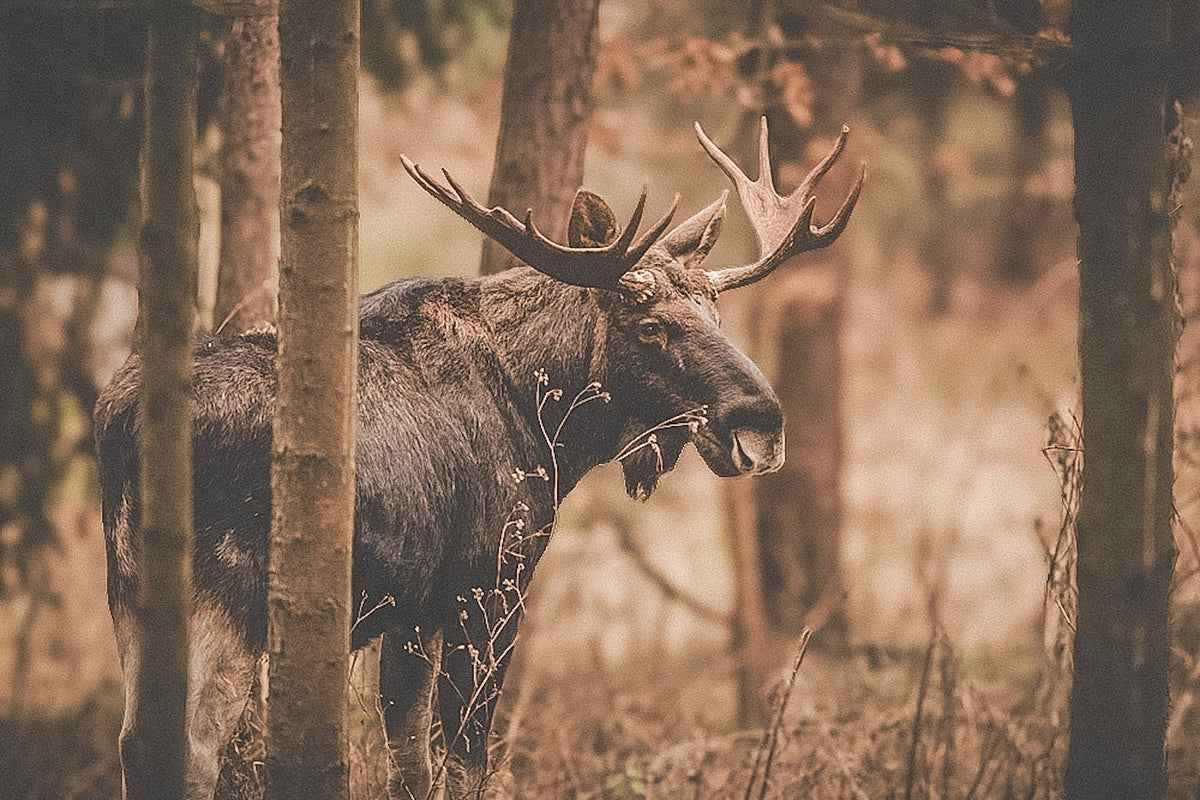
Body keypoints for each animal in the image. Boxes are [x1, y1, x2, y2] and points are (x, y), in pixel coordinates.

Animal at [95, 117, 862, 799]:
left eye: (716, 314)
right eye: (649, 327)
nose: (762, 426)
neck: (550, 424)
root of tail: (123, 424)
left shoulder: (411, 613)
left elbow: (408, 765)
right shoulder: (490, 586)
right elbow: (466, 762)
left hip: (130, 590)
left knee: (137, 743)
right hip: (231, 592)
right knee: (191, 748)